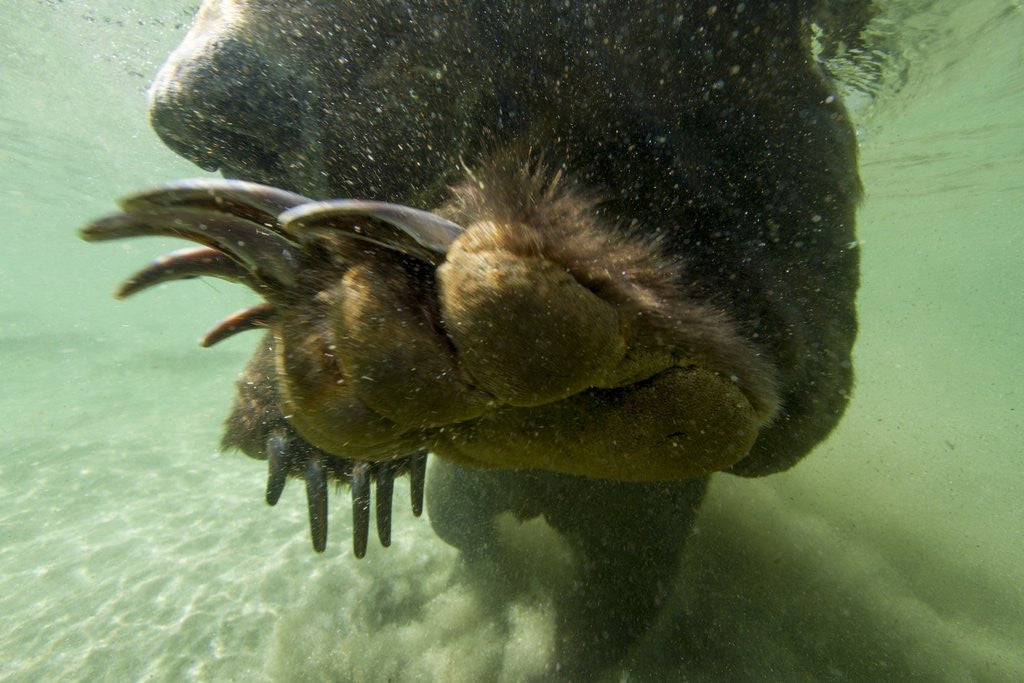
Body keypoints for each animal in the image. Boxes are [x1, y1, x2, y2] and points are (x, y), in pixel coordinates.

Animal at [82, 0, 863, 674]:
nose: (198, 104)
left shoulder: (760, 132)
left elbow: (801, 349)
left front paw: (519, 355)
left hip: (645, 525)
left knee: (616, 588)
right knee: (470, 526)